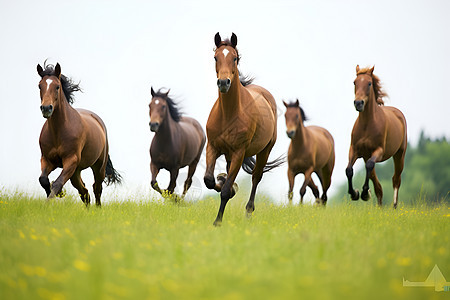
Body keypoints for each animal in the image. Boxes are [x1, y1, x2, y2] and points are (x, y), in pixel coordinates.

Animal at [36, 61, 121, 205]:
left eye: (57, 86)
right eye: (39, 86)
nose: (46, 108)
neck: (59, 131)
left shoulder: (71, 160)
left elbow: (57, 183)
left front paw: (52, 199)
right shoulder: (47, 160)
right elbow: (43, 180)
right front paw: (52, 196)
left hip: (98, 167)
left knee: (96, 188)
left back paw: (98, 209)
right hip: (76, 171)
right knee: (84, 192)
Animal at [203, 32, 284, 225]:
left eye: (235, 58)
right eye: (215, 57)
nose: (223, 82)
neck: (228, 113)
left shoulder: (239, 153)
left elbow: (225, 191)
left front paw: (217, 222)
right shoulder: (212, 147)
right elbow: (209, 180)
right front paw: (222, 181)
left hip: (264, 150)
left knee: (256, 177)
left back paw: (248, 212)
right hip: (228, 155)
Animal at [344, 65, 408, 209]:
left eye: (369, 83)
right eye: (354, 82)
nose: (358, 103)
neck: (367, 125)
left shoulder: (379, 151)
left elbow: (369, 165)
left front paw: (364, 193)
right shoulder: (355, 150)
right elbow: (349, 170)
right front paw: (355, 194)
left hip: (399, 154)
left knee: (396, 179)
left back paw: (394, 205)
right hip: (367, 155)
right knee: (378, 186)